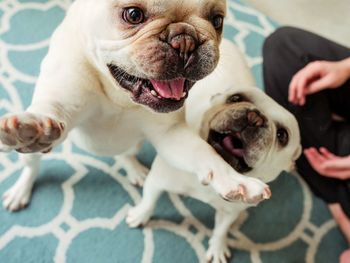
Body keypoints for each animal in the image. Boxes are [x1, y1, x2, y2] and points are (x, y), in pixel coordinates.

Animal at [0, 0, 270, 211]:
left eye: (217, 21)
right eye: (133, 15)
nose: (185, 40)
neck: (118, 95)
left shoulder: (171, 135)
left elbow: (203, 153)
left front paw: (235, 180)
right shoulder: (62, 99)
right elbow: (50, 110)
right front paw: (30, 128)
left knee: (126, 153)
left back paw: (134, 169)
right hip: (38, 153)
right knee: (32, 165)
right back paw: (21, 188)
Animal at [127, 39, 302, 263]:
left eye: (282, 135)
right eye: (235, 98)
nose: (255, 117)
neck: (215, 168)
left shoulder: (229, 212)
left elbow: (221, 230)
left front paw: (218, 248)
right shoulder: (157, 180)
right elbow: (149, 200)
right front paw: (140, 215)